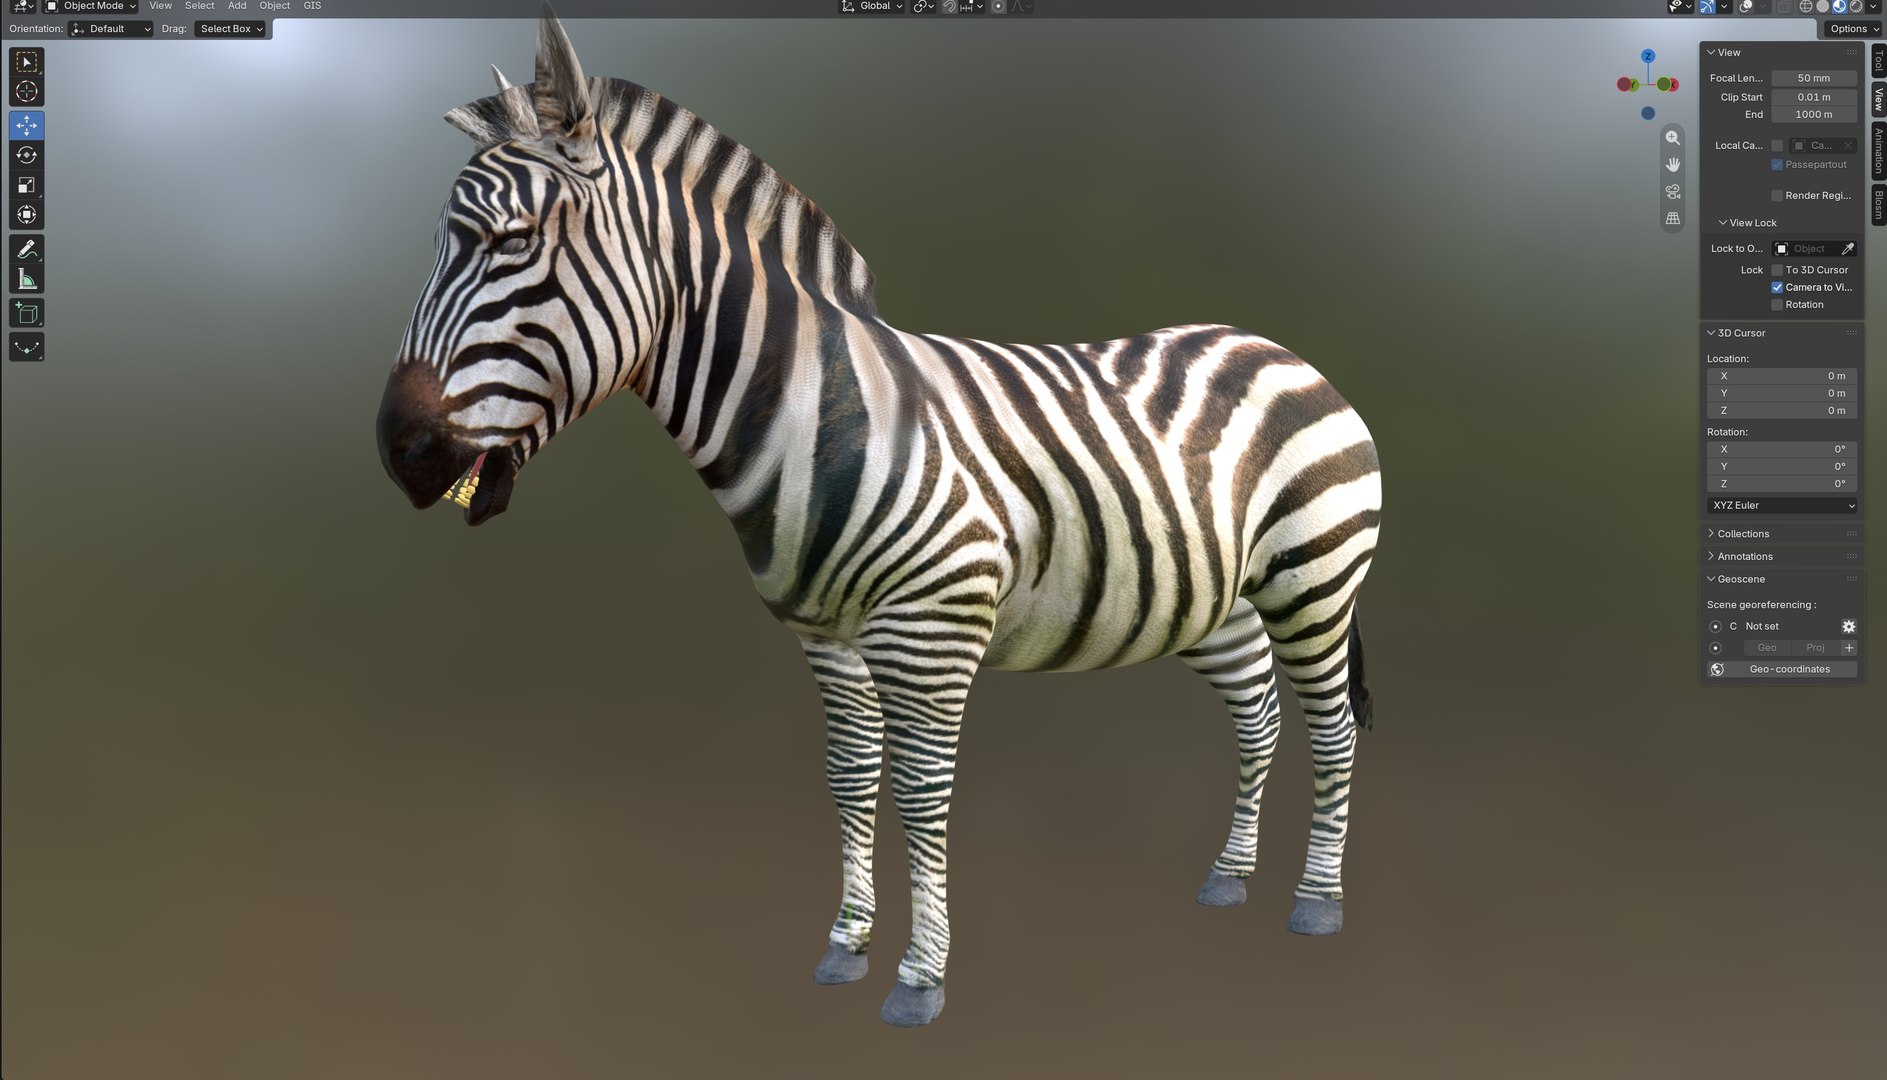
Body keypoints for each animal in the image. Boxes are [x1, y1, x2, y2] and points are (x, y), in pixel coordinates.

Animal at [376, 7, 1382, 1028]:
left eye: (510, 240)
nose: (397, 450)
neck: (816, 412)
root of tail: (1271, 344)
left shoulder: (932, 629)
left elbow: (921, 792)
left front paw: (920, 978)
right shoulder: (827, 636)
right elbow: (852, 777)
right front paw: (845, 944)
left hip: (1315, 575)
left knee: (1330, 725)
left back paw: (1316, 902)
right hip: (1218, 598)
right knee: (1259, 715)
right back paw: (1229, 876)